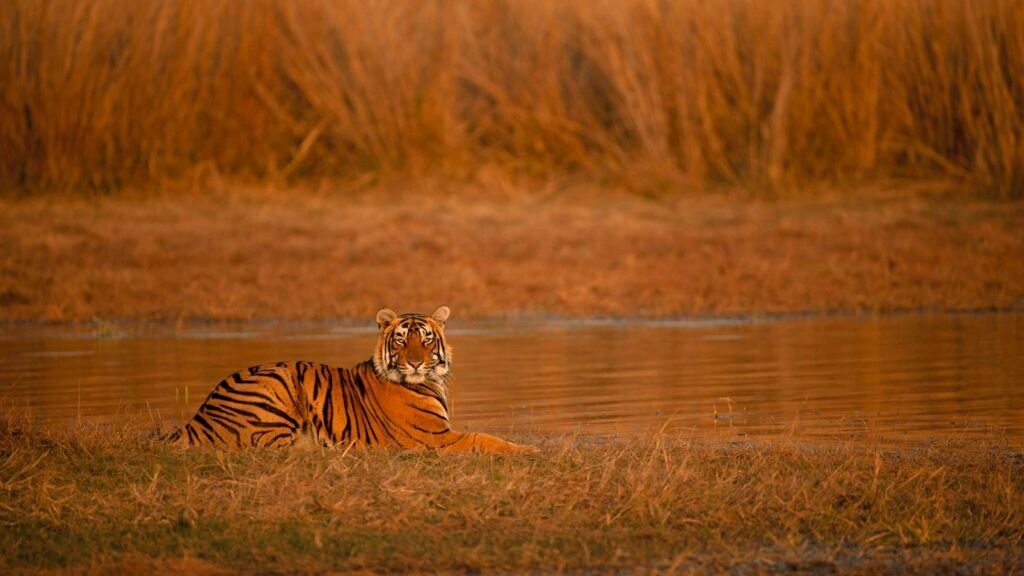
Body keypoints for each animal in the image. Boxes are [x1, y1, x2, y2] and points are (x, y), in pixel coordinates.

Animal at [166, 306, 536, 454]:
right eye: (401, 340)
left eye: (426, 339)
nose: (416, 362)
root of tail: (198, 416)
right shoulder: (436, 438)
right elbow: (485, 438)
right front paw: (530, 450)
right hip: (278, 383)